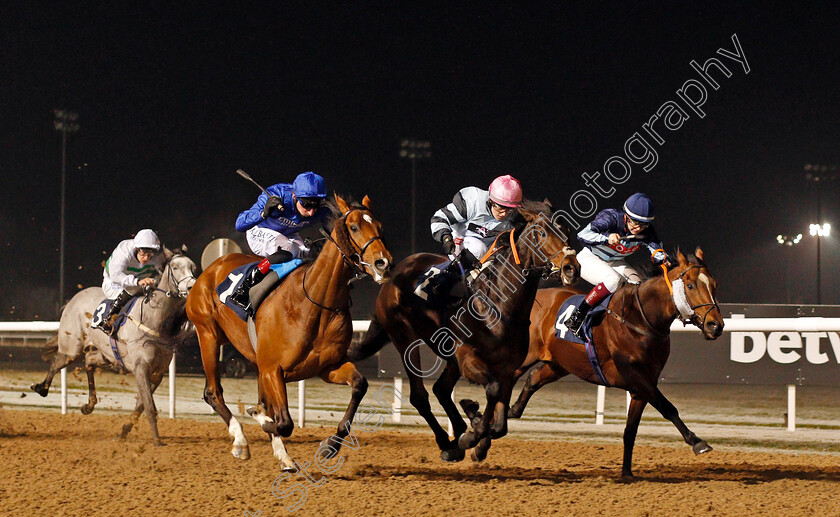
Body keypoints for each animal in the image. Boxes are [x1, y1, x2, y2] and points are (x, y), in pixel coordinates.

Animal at [30, 247, 198, 444]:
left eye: (193, 268)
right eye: (175, 267)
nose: (191, 286)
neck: (152, 319)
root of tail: (74, 298)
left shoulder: (157, 373)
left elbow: (141, 405)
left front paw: (124, 431)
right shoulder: (141, 367)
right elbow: (149, 406)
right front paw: (157, 440)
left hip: (107, 354)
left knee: (89, 360)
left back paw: (89, 405)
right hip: (72, 347)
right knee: (58, 361)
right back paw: (41, 388)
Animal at [185, 192, 392, 468]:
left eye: (380, 226)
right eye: (354, 227)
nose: (383, 263)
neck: (315, 303)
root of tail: (210, 268)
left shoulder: (327, 367)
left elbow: (360, 385)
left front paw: (330, 445)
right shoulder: (273, 369)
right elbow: (283, 423)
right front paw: (259, 418)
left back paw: (283, 456)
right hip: (208, 333)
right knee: (213, 392)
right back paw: (240, 440)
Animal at [348, 201, 576, 460]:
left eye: (567, 230)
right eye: (540, 233)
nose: (571, 267)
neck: (497, 305)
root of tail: (392, 277)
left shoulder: (507, 367)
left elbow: (500, 424)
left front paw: (476, 429)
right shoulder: (468, 357)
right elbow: (493, 391)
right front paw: (472, 434)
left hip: (449, 358)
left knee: (441, 389)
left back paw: (456, 434)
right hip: (404, 338)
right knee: (420, 396)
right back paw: (447, 442)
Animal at [502, 246, 724, 476]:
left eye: (714, 285)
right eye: (690, 285)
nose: (715, 325)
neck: (640, 319)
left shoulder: (642, 386)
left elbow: (630, 430)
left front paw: (627, 473)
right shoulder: (634, 377)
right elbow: (667, 407)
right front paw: (697, 442)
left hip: (561, 363)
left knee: (534, 377)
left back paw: (512, 411)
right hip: (527, 356)